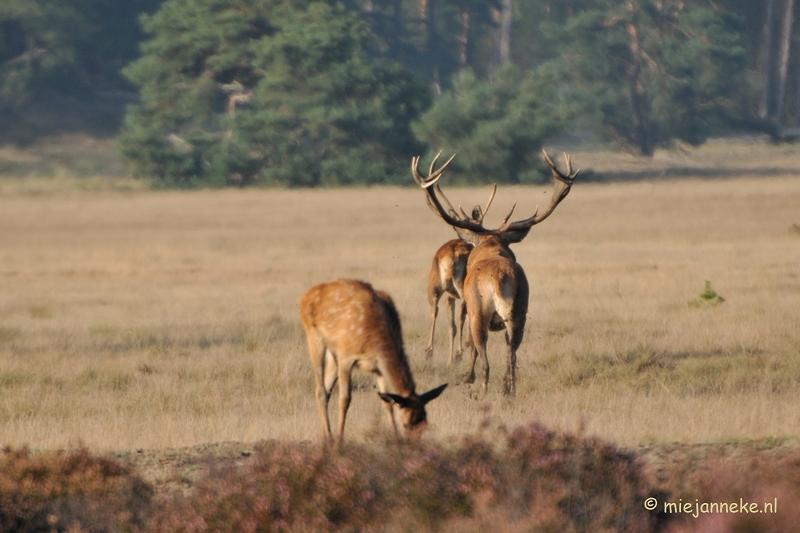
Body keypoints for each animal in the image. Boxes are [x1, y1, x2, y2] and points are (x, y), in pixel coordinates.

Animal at [302, 276, 450, 442]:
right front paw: (340, 440)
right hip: (314, 336)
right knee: (320, 390)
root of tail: (306, 296)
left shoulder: (378, 367)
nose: (413, 444)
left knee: (326, 391)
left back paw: (324, 437)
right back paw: (329, 437)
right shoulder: (346, 356)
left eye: (425, 424)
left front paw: (395, 438)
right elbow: (345, 399)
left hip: (333, 355)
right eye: (406, 424)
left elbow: (387, 403)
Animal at [424, 185, 494, 364]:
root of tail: (452, 256)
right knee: (461, 311)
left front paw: (451, 357)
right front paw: (455, 354)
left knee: (435, 310)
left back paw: (431, 351)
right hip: (459, 286)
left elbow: (452, 326)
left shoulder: (449, 294)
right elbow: (457, 322)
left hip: (435, 286)